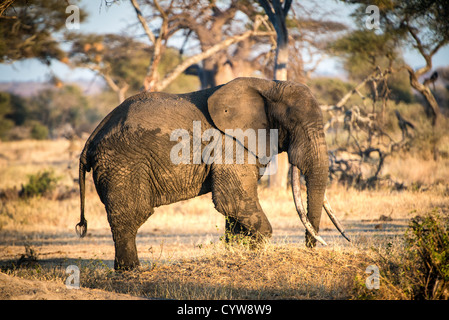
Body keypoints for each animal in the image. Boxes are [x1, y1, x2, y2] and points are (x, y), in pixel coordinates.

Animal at [75, 76, 348, 268]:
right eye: (293, 124)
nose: (310, 248)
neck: (269, 85)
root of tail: (91, 138)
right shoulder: (230, 142)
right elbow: (232, 200)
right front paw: (256, 253)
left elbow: (235, 210)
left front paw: (238, 253)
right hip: (122, 163)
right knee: (131, 215)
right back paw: (132, 271)